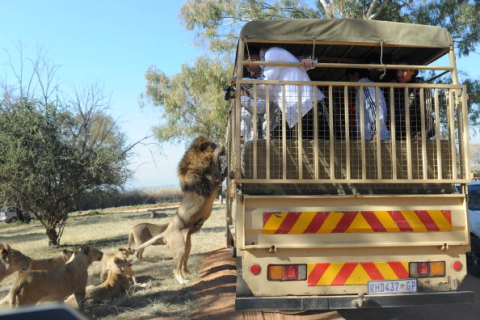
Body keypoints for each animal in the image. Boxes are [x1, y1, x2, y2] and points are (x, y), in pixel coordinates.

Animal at [135, 136, 225, 284]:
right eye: (214, 145)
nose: (222, 144)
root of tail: (165, 232)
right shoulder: (212, 181)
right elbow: (219, 168)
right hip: (180, 247)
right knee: (175, 268)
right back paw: (183, 281)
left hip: (187, 246)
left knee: (183, 265)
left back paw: (188, 275)